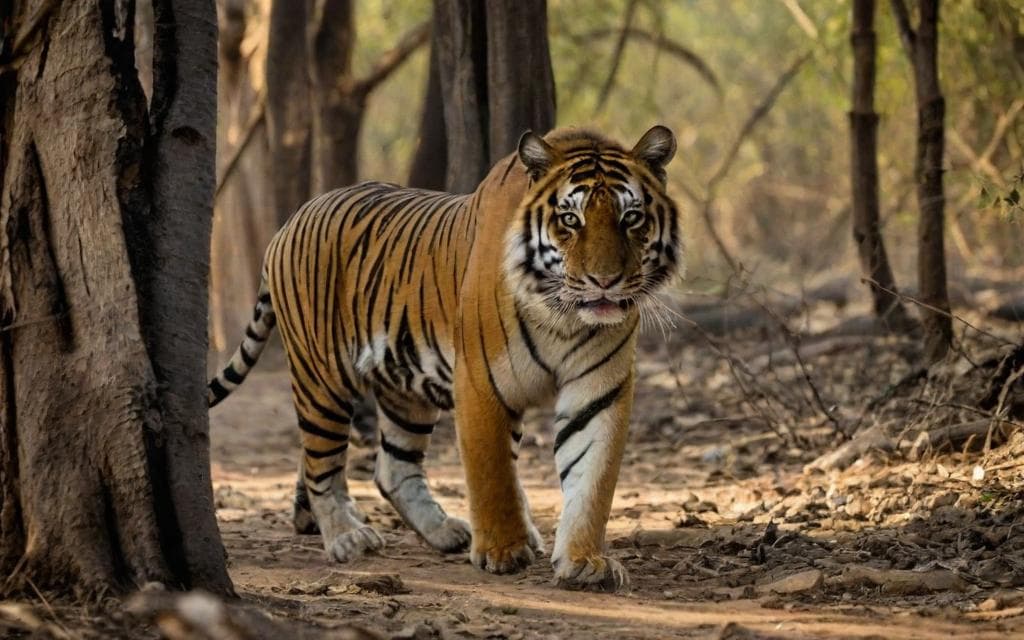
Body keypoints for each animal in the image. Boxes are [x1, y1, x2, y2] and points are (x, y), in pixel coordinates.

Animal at [208, 125, 682, 591]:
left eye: (631, 217)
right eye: (570, 219)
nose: (605, 282)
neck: (563, 316)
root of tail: (288, 222)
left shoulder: (598, 389)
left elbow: (592, 479)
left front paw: (584, 561)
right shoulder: (481, 381)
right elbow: (492, 471)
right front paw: (503, 551)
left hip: (404, 390)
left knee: (392, 468)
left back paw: (442, 532)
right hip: (321, 378)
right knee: (321, 463)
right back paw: (347, 537)